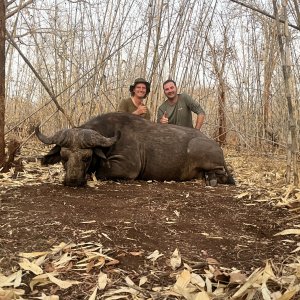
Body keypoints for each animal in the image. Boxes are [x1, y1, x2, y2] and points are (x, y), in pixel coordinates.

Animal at [35, 112, 234, 188]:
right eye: (63, 157)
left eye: (87, 157)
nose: (72, 181)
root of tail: (215, 146)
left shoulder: (127, 167)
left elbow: (99, 172)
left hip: (198, 151)